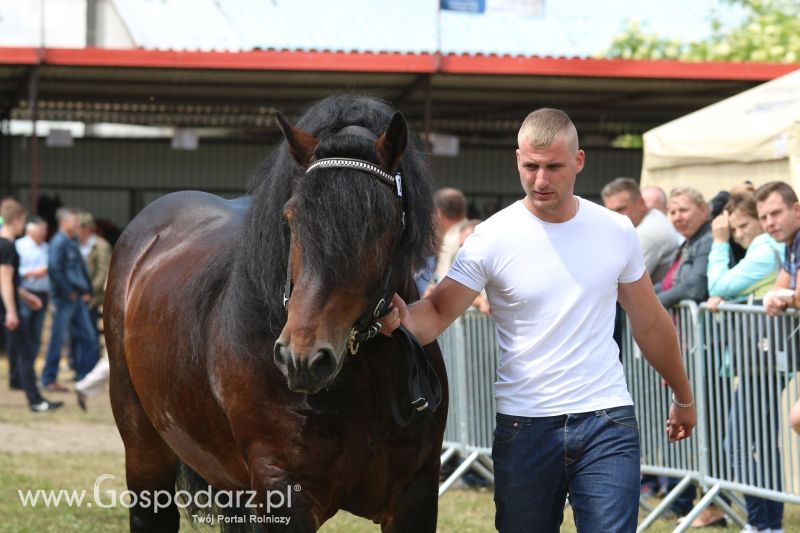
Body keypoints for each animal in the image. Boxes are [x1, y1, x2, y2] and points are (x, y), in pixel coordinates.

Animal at [104, 95, 446, 532]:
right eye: (291, 216)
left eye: (382, 222)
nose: (303, 358)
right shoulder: (282, 492)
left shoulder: (414, 495)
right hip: (144, 450)